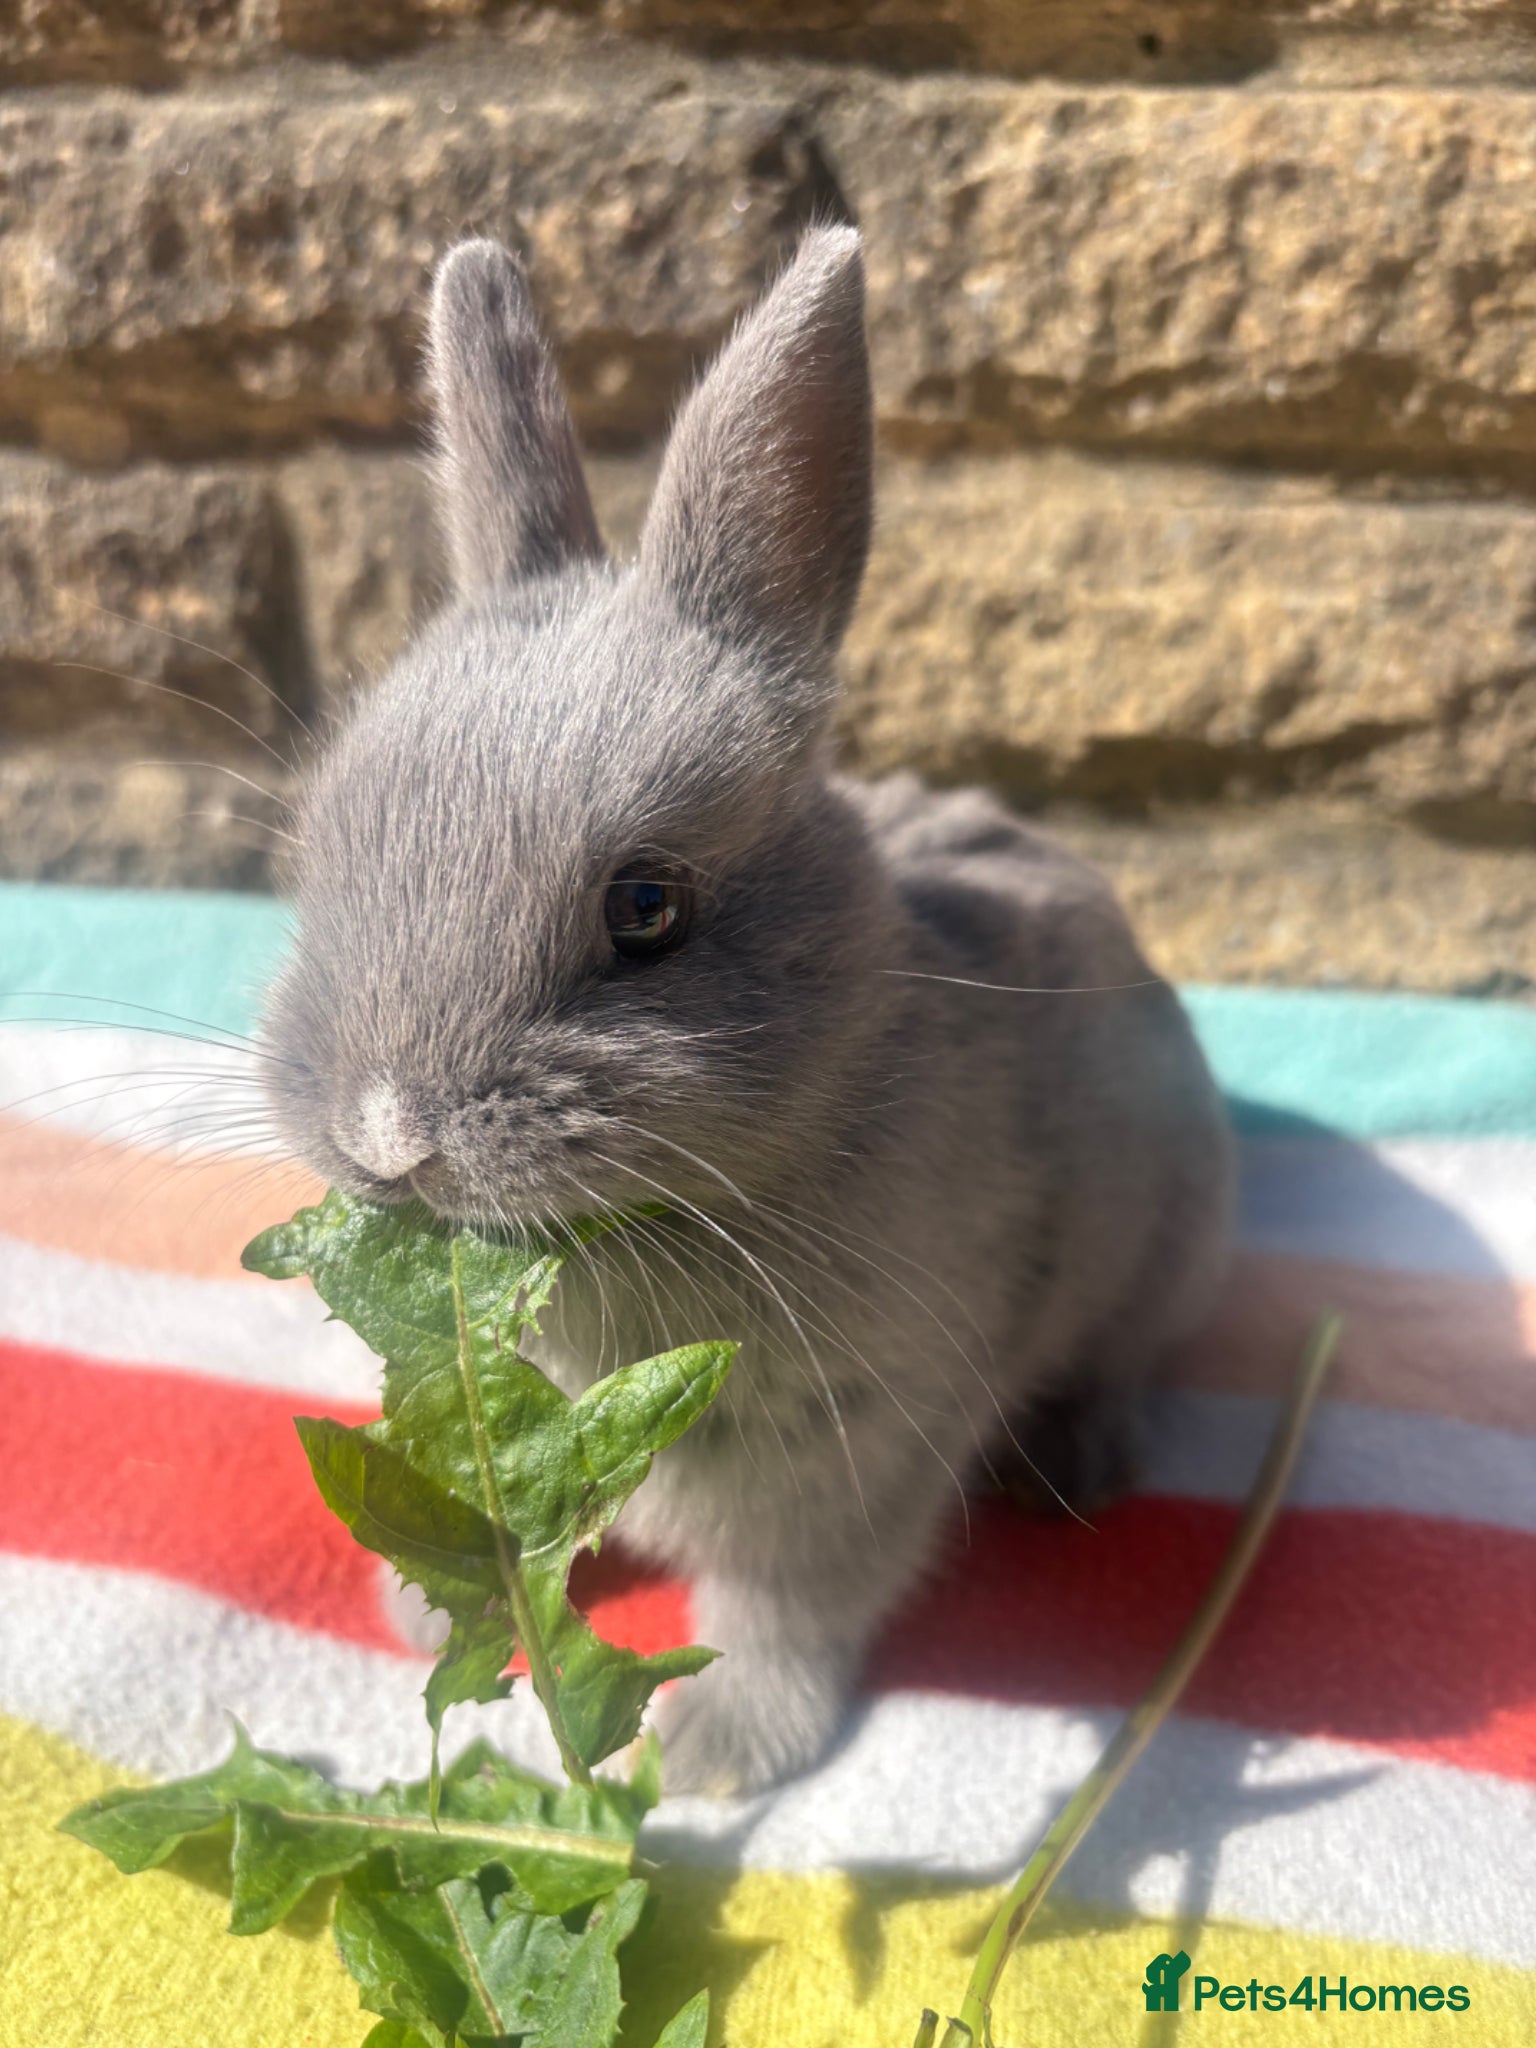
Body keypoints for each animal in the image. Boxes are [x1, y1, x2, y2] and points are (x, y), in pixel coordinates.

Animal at [259, 224, 1234, 1796]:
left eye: (647, 906)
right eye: (322, 847)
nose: (388, 1136)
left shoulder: (851, 1450)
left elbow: (787, 1604)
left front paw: (726, 1754)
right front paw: (424, 1610)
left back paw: (1082, 1467)